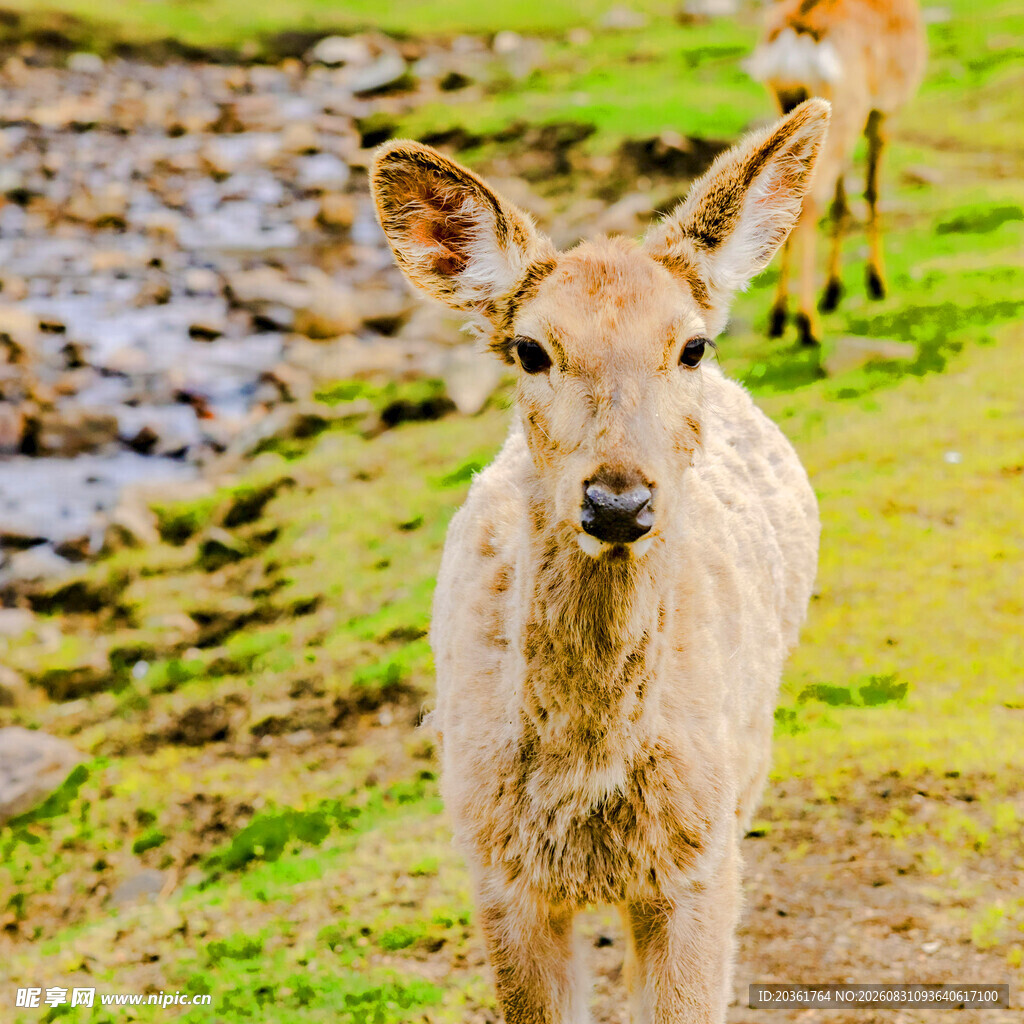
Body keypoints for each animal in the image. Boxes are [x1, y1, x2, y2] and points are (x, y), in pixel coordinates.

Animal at [371, 97, 829, 1024]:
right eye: (530, 350)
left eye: (692, 346)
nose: (618, 502)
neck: (588, 787)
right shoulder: (498, 872)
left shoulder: (701, 865)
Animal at [745, 0, 926, 345]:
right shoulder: (884, 110)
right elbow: (872, 190)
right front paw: (876, 283)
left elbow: (842, 202)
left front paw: (833, 291)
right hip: (845, 109)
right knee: (810, 201)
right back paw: (807, 324)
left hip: (788, 107)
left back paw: (778, 319)